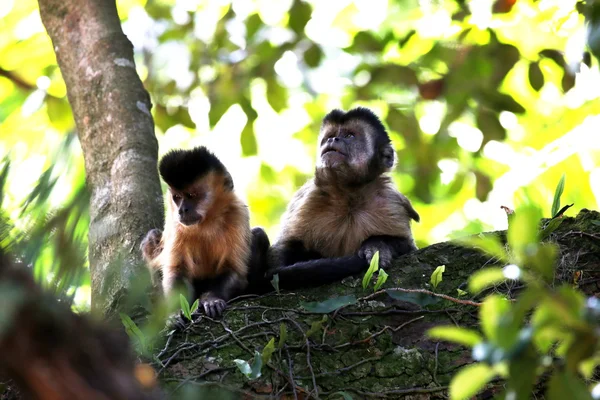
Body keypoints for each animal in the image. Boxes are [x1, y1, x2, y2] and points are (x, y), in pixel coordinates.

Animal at [141, 147, 268, 318]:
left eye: (191, 195)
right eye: (177, 197)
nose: (182, 210)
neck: (207, 221)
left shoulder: (237, 213)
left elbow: (234, 269)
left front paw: (211, 300)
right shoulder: (176, 223)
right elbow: (177, 271)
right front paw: (176, 313)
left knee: (259, 235)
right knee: (152, 237)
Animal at [264, 107, 420, 288]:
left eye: (349, 136)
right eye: (329, 136)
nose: (333, 139)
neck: (348, 197)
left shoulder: (390, 202)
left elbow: (408, 247)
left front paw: (378, 245)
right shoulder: (307, 200)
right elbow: (280, 252)